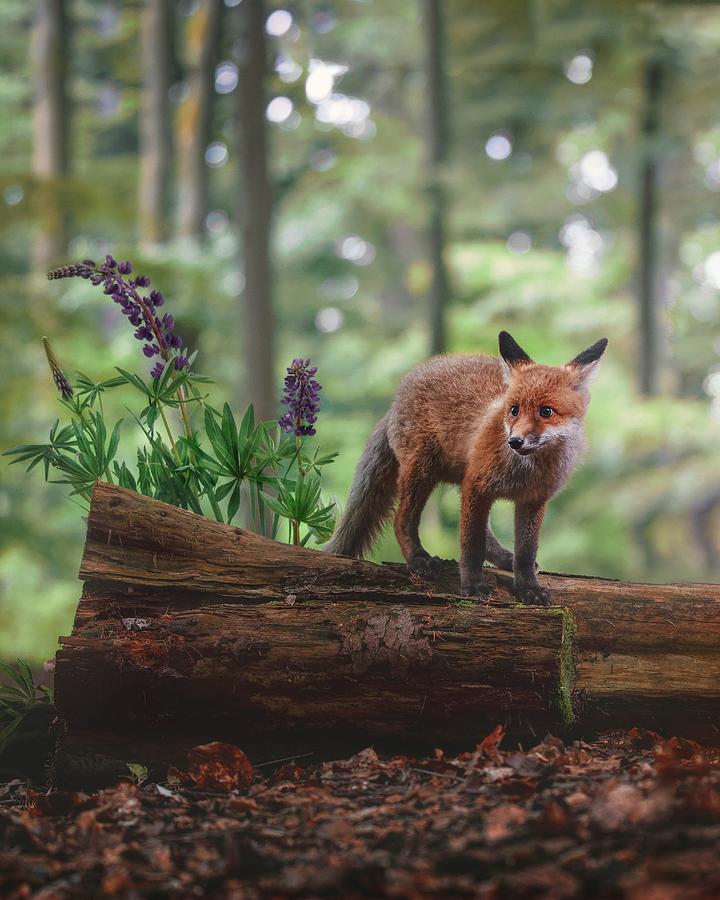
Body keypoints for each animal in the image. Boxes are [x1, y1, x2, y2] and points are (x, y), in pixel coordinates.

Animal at [326, 334, 608, 608]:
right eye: (514, 410)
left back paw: (505, 558)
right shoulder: (477, 485)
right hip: (423, 471)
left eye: (546, 411)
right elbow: (471, 545)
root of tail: (398, 394)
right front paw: (472, 585)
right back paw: (418, 559)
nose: (514, 441)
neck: (527, 471)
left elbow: (526, 553)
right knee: (401, 519)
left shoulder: (533, 500)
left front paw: (528, 588)